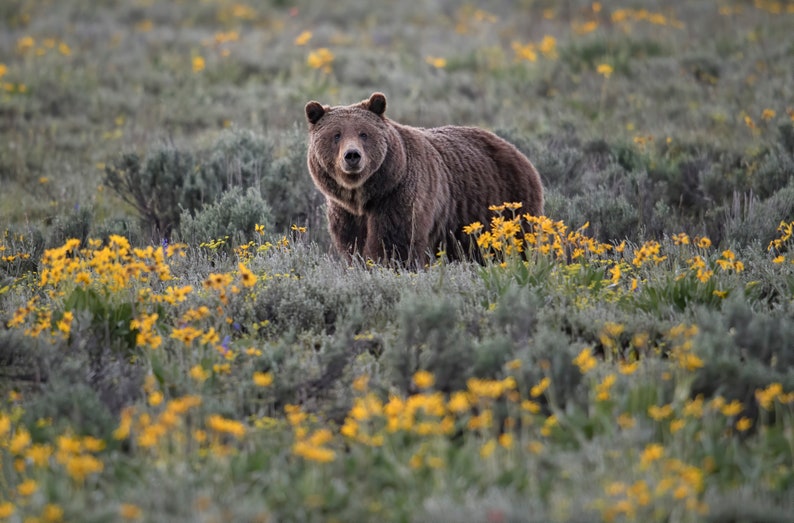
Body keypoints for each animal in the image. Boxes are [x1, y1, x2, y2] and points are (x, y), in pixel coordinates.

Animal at [304, 92, 544, 267]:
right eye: (336, 135)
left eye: (364, 133)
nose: (352, 155)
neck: (364, 196)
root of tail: (517, 152)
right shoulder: (345, 212)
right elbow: (353, 245)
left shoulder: (399, 196)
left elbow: (395, 243)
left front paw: (387, 264)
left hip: (508, 202)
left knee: (521, 240)